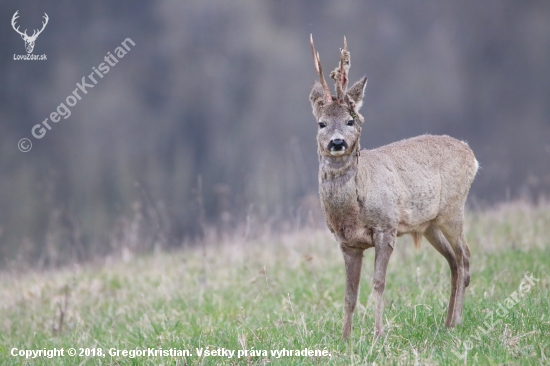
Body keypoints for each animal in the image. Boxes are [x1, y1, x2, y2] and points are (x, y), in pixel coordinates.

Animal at [310, 35, 478, 340]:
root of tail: (471, 154)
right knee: (453, 260)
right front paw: (345, 338)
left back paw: (457, 321)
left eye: (350, 120)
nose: (337, 142)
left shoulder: (386, 227)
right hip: (429, 223)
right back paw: (446, 322)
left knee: (464, 257)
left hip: (453, 210)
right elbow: (349, 294)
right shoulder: (347, 243)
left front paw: (378, 334)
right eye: (321, 123)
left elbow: (378, 283)